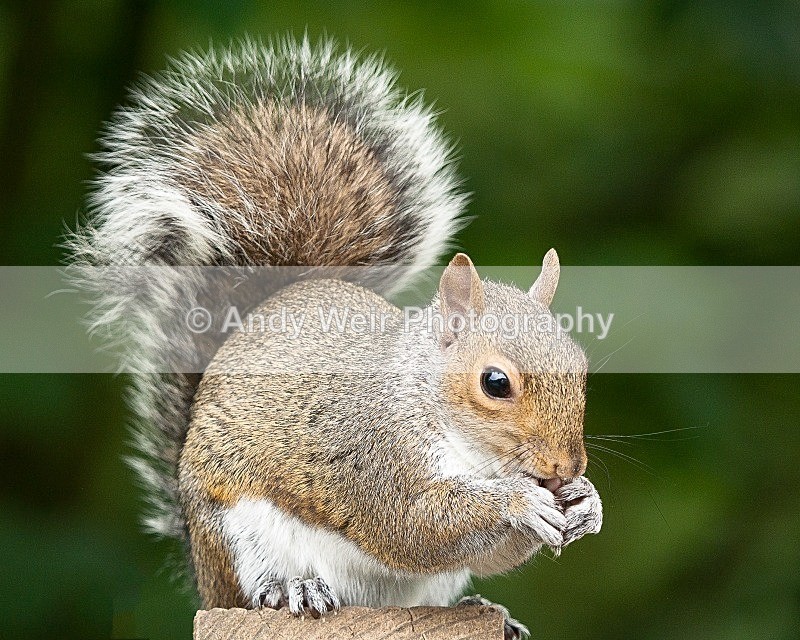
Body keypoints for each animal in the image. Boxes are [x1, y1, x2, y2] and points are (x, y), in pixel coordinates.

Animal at [67, 37, 602, 639]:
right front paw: (520, 503)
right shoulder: (371, 457)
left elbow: (489, 552)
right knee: (257, 586)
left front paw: (587, 504)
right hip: (237, 534)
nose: (567, 468)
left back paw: (488, 612)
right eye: (495, 383)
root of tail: (206, 580)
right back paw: (290, 589)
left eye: (581, 365)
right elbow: (416, 524)